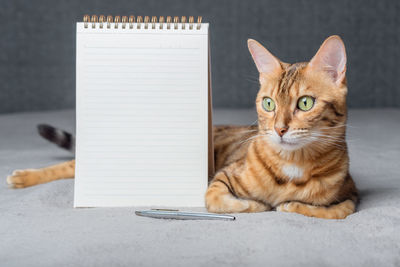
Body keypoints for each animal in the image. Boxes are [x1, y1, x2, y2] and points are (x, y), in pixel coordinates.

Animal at [6, 35, 358, 220]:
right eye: (269, 104)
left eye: (305, 104)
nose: (280, 129)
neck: (293, 166)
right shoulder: (221, 178)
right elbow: (218, 200)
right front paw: (258, 205)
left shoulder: (351, 195)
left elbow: (333, 211)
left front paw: (290, 204)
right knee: (72, 165)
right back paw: (23, 177)